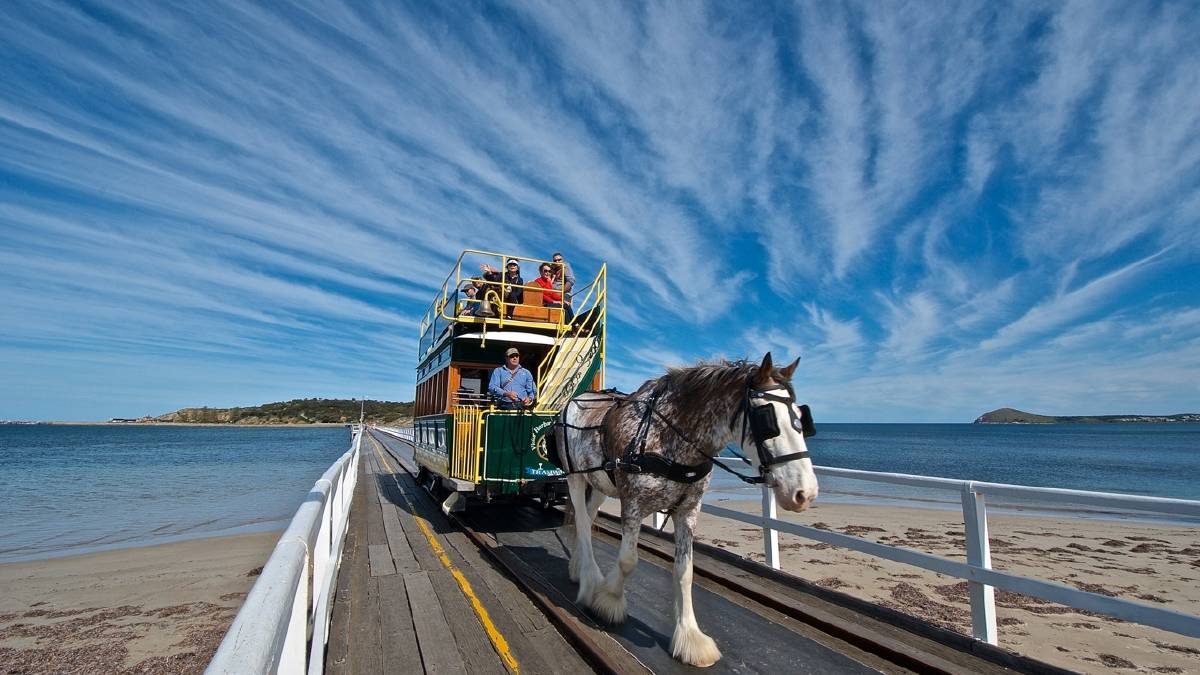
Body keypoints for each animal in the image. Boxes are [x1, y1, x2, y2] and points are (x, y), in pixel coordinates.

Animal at [549, 353, 816, 662]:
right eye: (768, 418)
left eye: (801, 419)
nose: (806, 493)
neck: (667, 435)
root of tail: (576, 400)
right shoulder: (633, 503)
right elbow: (628, 561)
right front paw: (608, 600)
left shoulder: (688, 510)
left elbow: (685, 572)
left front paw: (690, 636)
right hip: (575, 477)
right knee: (581, 521)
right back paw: (590, 581)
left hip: (602, 483)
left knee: (589, 517)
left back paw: (578, 568)